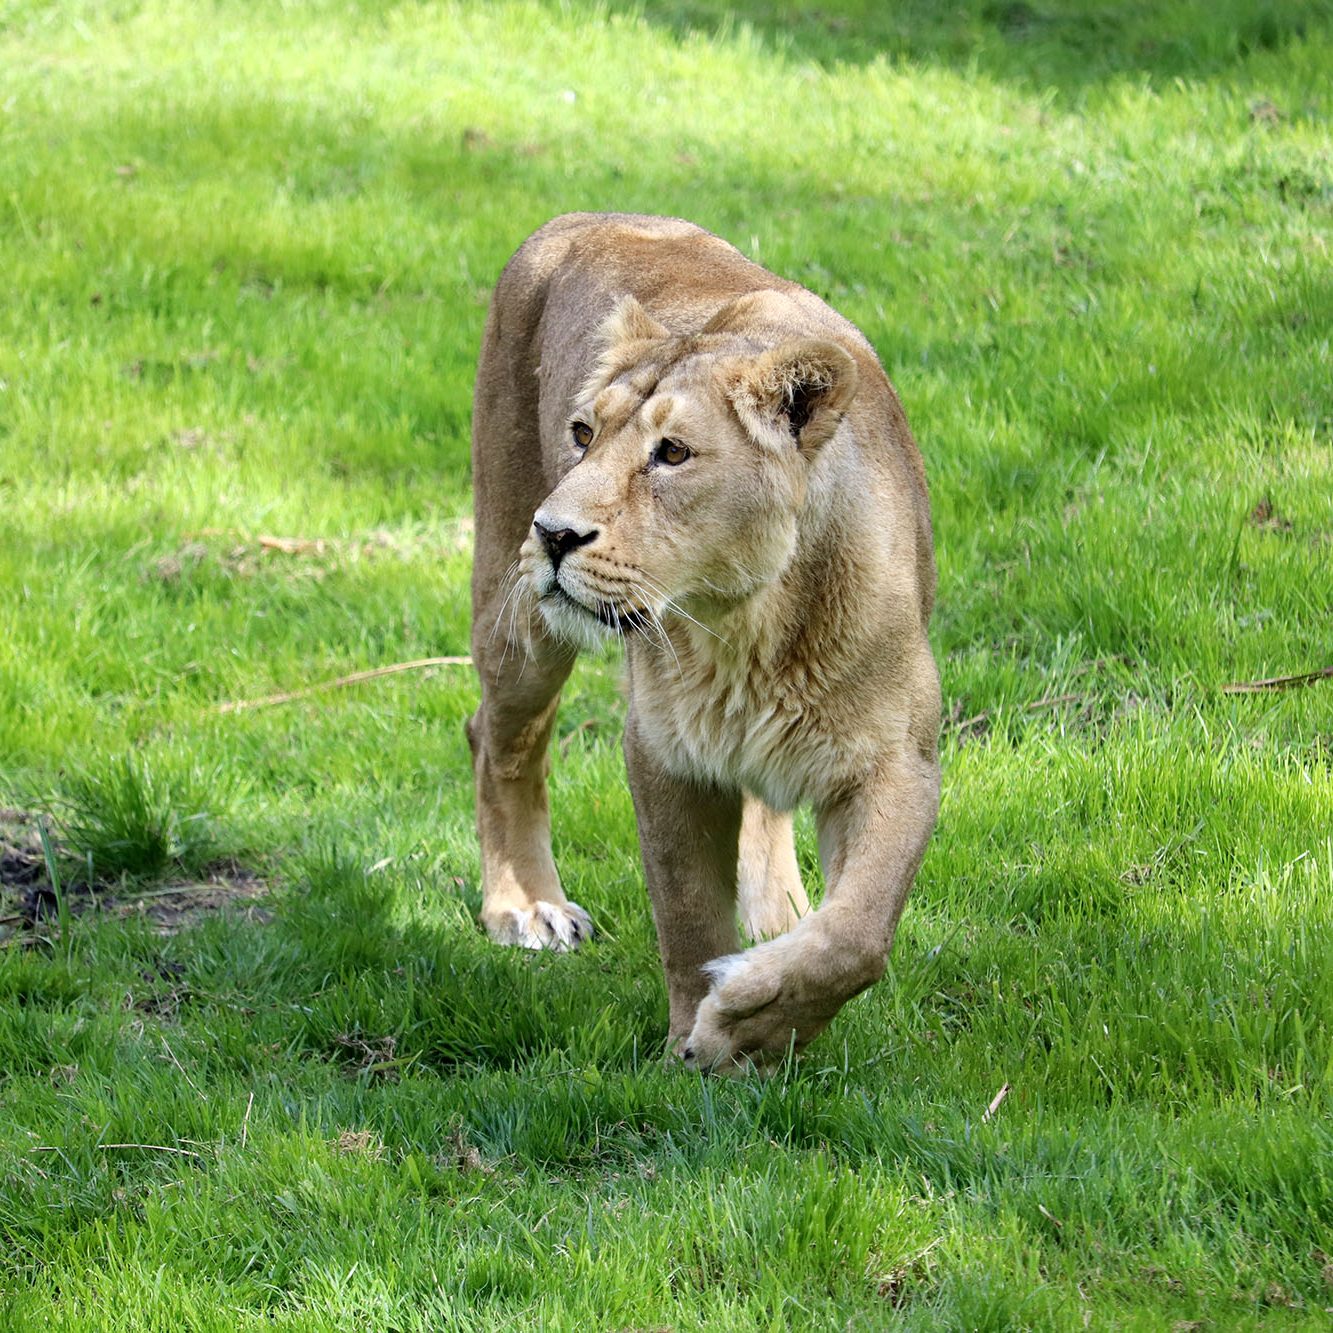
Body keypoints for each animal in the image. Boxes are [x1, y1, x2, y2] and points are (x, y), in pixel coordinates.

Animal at [466, 215, 938, 1071]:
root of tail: (576, 218)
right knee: (499, 737)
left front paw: (750, 1014)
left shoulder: (896, 761)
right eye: (582, 434)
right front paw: (701, 1040)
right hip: (515, 617)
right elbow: (685, 914)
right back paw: (527, 908)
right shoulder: (662, 752)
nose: (552, 534)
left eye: (673, 453)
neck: (748, 624)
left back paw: (774, 911)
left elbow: (854, 939)